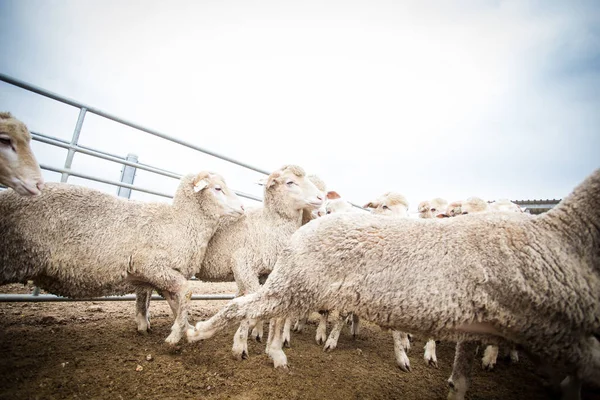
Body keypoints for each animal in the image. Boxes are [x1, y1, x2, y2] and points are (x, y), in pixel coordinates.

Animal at [0, 170, 244, 344]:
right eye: (218, 188)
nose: (242, 207)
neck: (180, 222)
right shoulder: (151, 264)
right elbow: (184, 292)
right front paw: (176, 334)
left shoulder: (156, 274)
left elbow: (163, 300)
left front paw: (182, 328)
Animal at [196, 164, 324, 358]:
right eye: (290, 182)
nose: (320, 198)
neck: (267, 225)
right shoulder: (242, 264)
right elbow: (249, 302)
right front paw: (241, 345)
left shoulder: (269, 272)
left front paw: (268, 341)